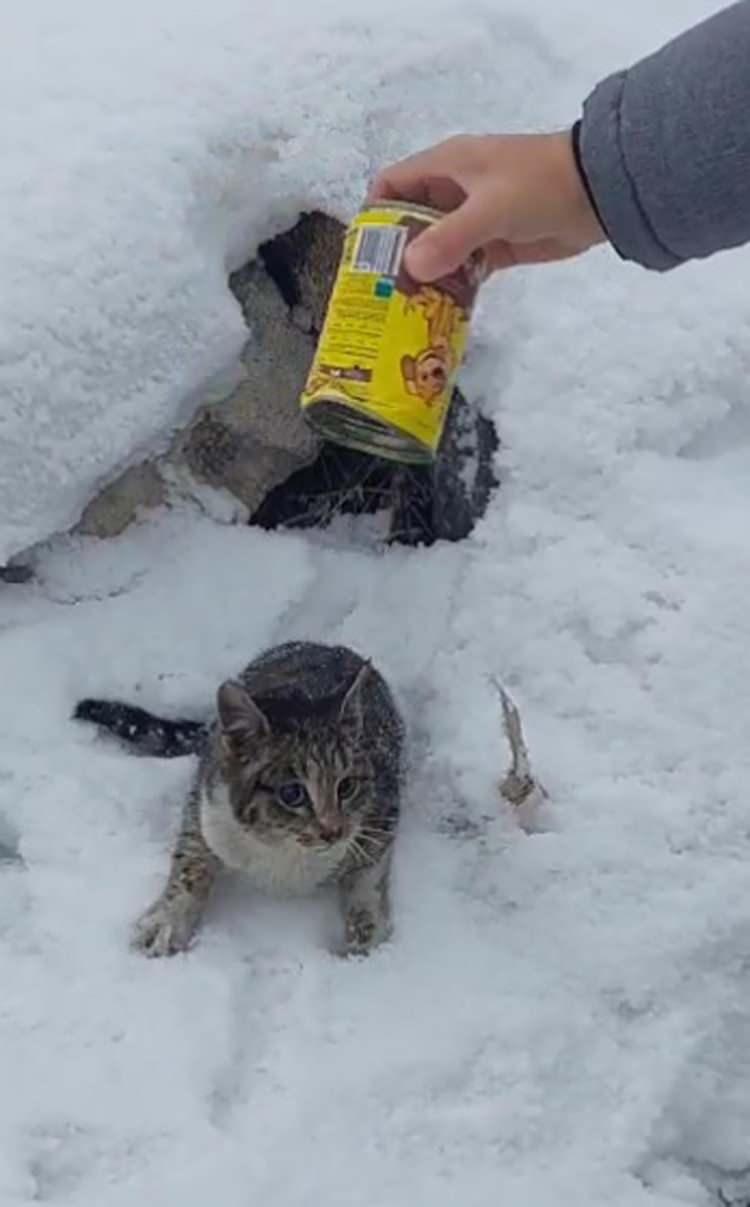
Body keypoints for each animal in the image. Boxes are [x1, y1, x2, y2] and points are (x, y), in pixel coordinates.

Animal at [74, 642, 403, 960]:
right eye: (292, 794)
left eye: (346, 786)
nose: (333, 830)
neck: (284, 851)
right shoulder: (207, 801)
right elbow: (191, 859)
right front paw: (166, 922)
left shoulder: (382, 810)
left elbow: (368, 875)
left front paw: (365, 938)